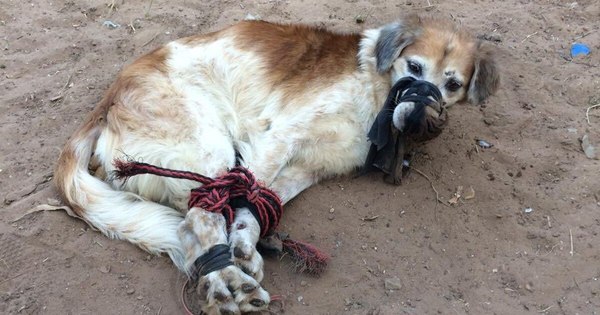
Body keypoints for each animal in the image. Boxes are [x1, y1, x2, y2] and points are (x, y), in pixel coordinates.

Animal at [55, 15, 496, 315]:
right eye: (414, 68)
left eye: (452, 84)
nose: (419, 118)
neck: (374, 89)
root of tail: (109, 98)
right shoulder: (280, 135)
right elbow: (247, 194)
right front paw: (240, 254)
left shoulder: (309, 168)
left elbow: (256, 203)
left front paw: (246, 243)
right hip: (209, 147)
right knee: (197, 220)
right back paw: (227, 285)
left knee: (196, 221)